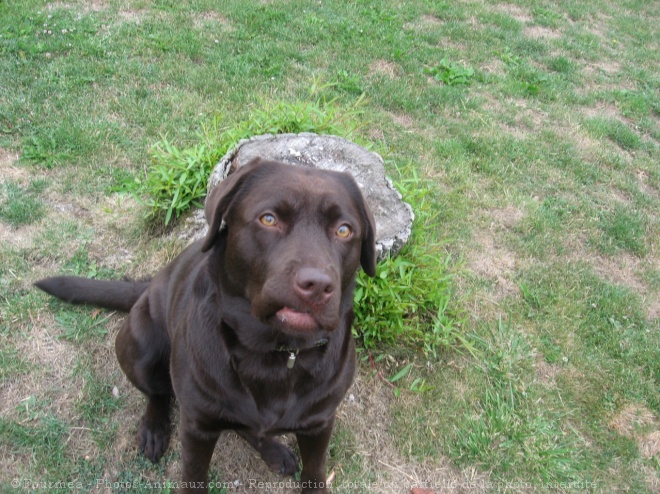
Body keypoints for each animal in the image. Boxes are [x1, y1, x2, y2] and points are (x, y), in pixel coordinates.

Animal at [36, 160, 376, 492]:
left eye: (344, 230)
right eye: (268, 219)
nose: (317, 285)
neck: (277, 352)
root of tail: (150, 284)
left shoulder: (319, 423)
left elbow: (314, 471)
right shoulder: (197, 427)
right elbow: (194, 474)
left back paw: (273, 450)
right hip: (140, 347)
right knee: (158, 392)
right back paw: (154, 429)